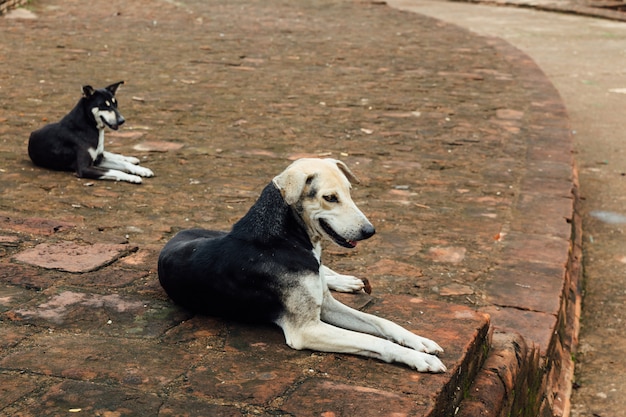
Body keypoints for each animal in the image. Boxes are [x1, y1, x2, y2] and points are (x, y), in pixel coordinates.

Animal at [27, 82, 155, 183]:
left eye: (115, 104)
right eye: (103, 105)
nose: (122, 120)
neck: (89, 126)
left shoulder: (98, 160)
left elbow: (122, 165)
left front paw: (141, 170)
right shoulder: (84, 168)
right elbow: (114, 170)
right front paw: (132, 177)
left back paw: (131, 159)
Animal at [158, 158, 446, 370]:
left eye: (349, 192)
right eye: (330, 198)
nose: (370, 231)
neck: (282, 237)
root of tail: (179, 232)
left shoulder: (327, 306)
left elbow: (381, 323)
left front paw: (419, 341)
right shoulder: (307, 329)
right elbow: (372, 339)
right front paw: (420, 359)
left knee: (326, 271)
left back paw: (347, 281)